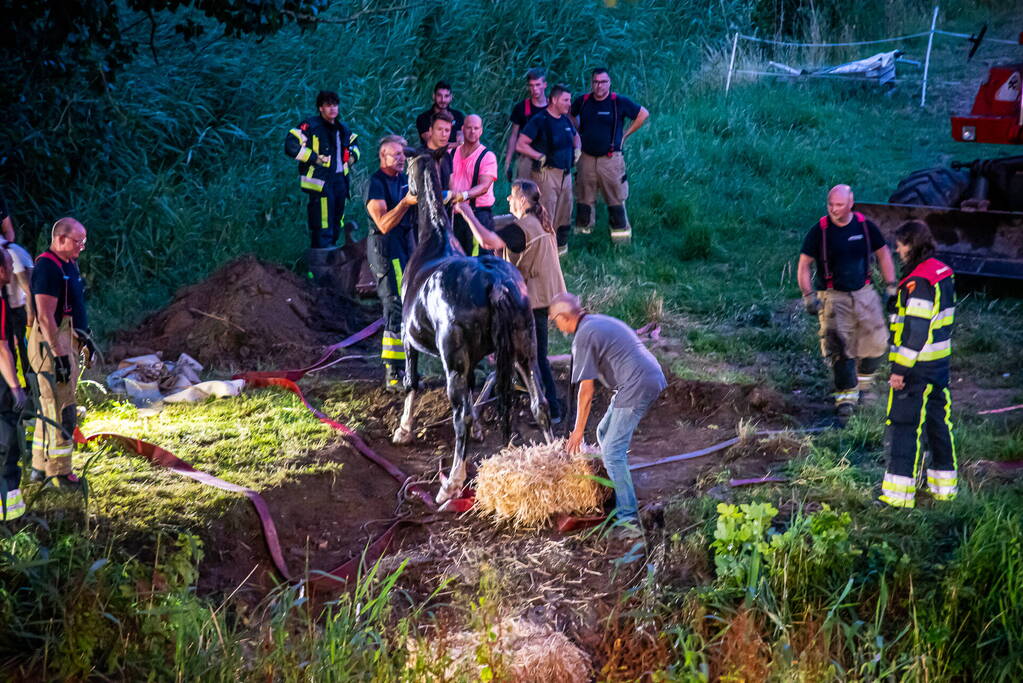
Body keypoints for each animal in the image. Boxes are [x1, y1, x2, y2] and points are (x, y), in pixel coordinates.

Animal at [390, 147, 552, 505]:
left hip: (454, 363)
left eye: (406, 169)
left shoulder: (409, 341)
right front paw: (480, 428)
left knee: (458, 417)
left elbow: (411, 383)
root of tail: (496, 283)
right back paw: (555, 458)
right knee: (540, 403)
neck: (435, 239)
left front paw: (404, 429)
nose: (406, 190)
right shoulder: (474, 359)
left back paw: (452, 482)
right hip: (524, 351)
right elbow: (475, 390)